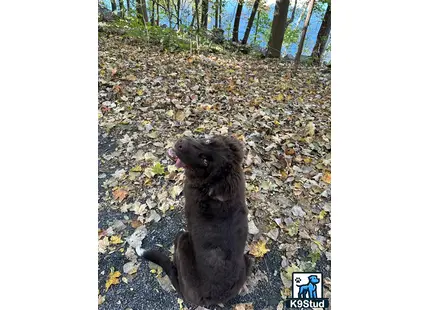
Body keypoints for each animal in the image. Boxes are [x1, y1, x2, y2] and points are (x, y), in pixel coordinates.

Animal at [143, 135, 250, 306]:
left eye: (205, 161)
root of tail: (208, 298)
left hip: (183, 240)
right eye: (208, 142)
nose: (180, 143)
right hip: (247, 260)